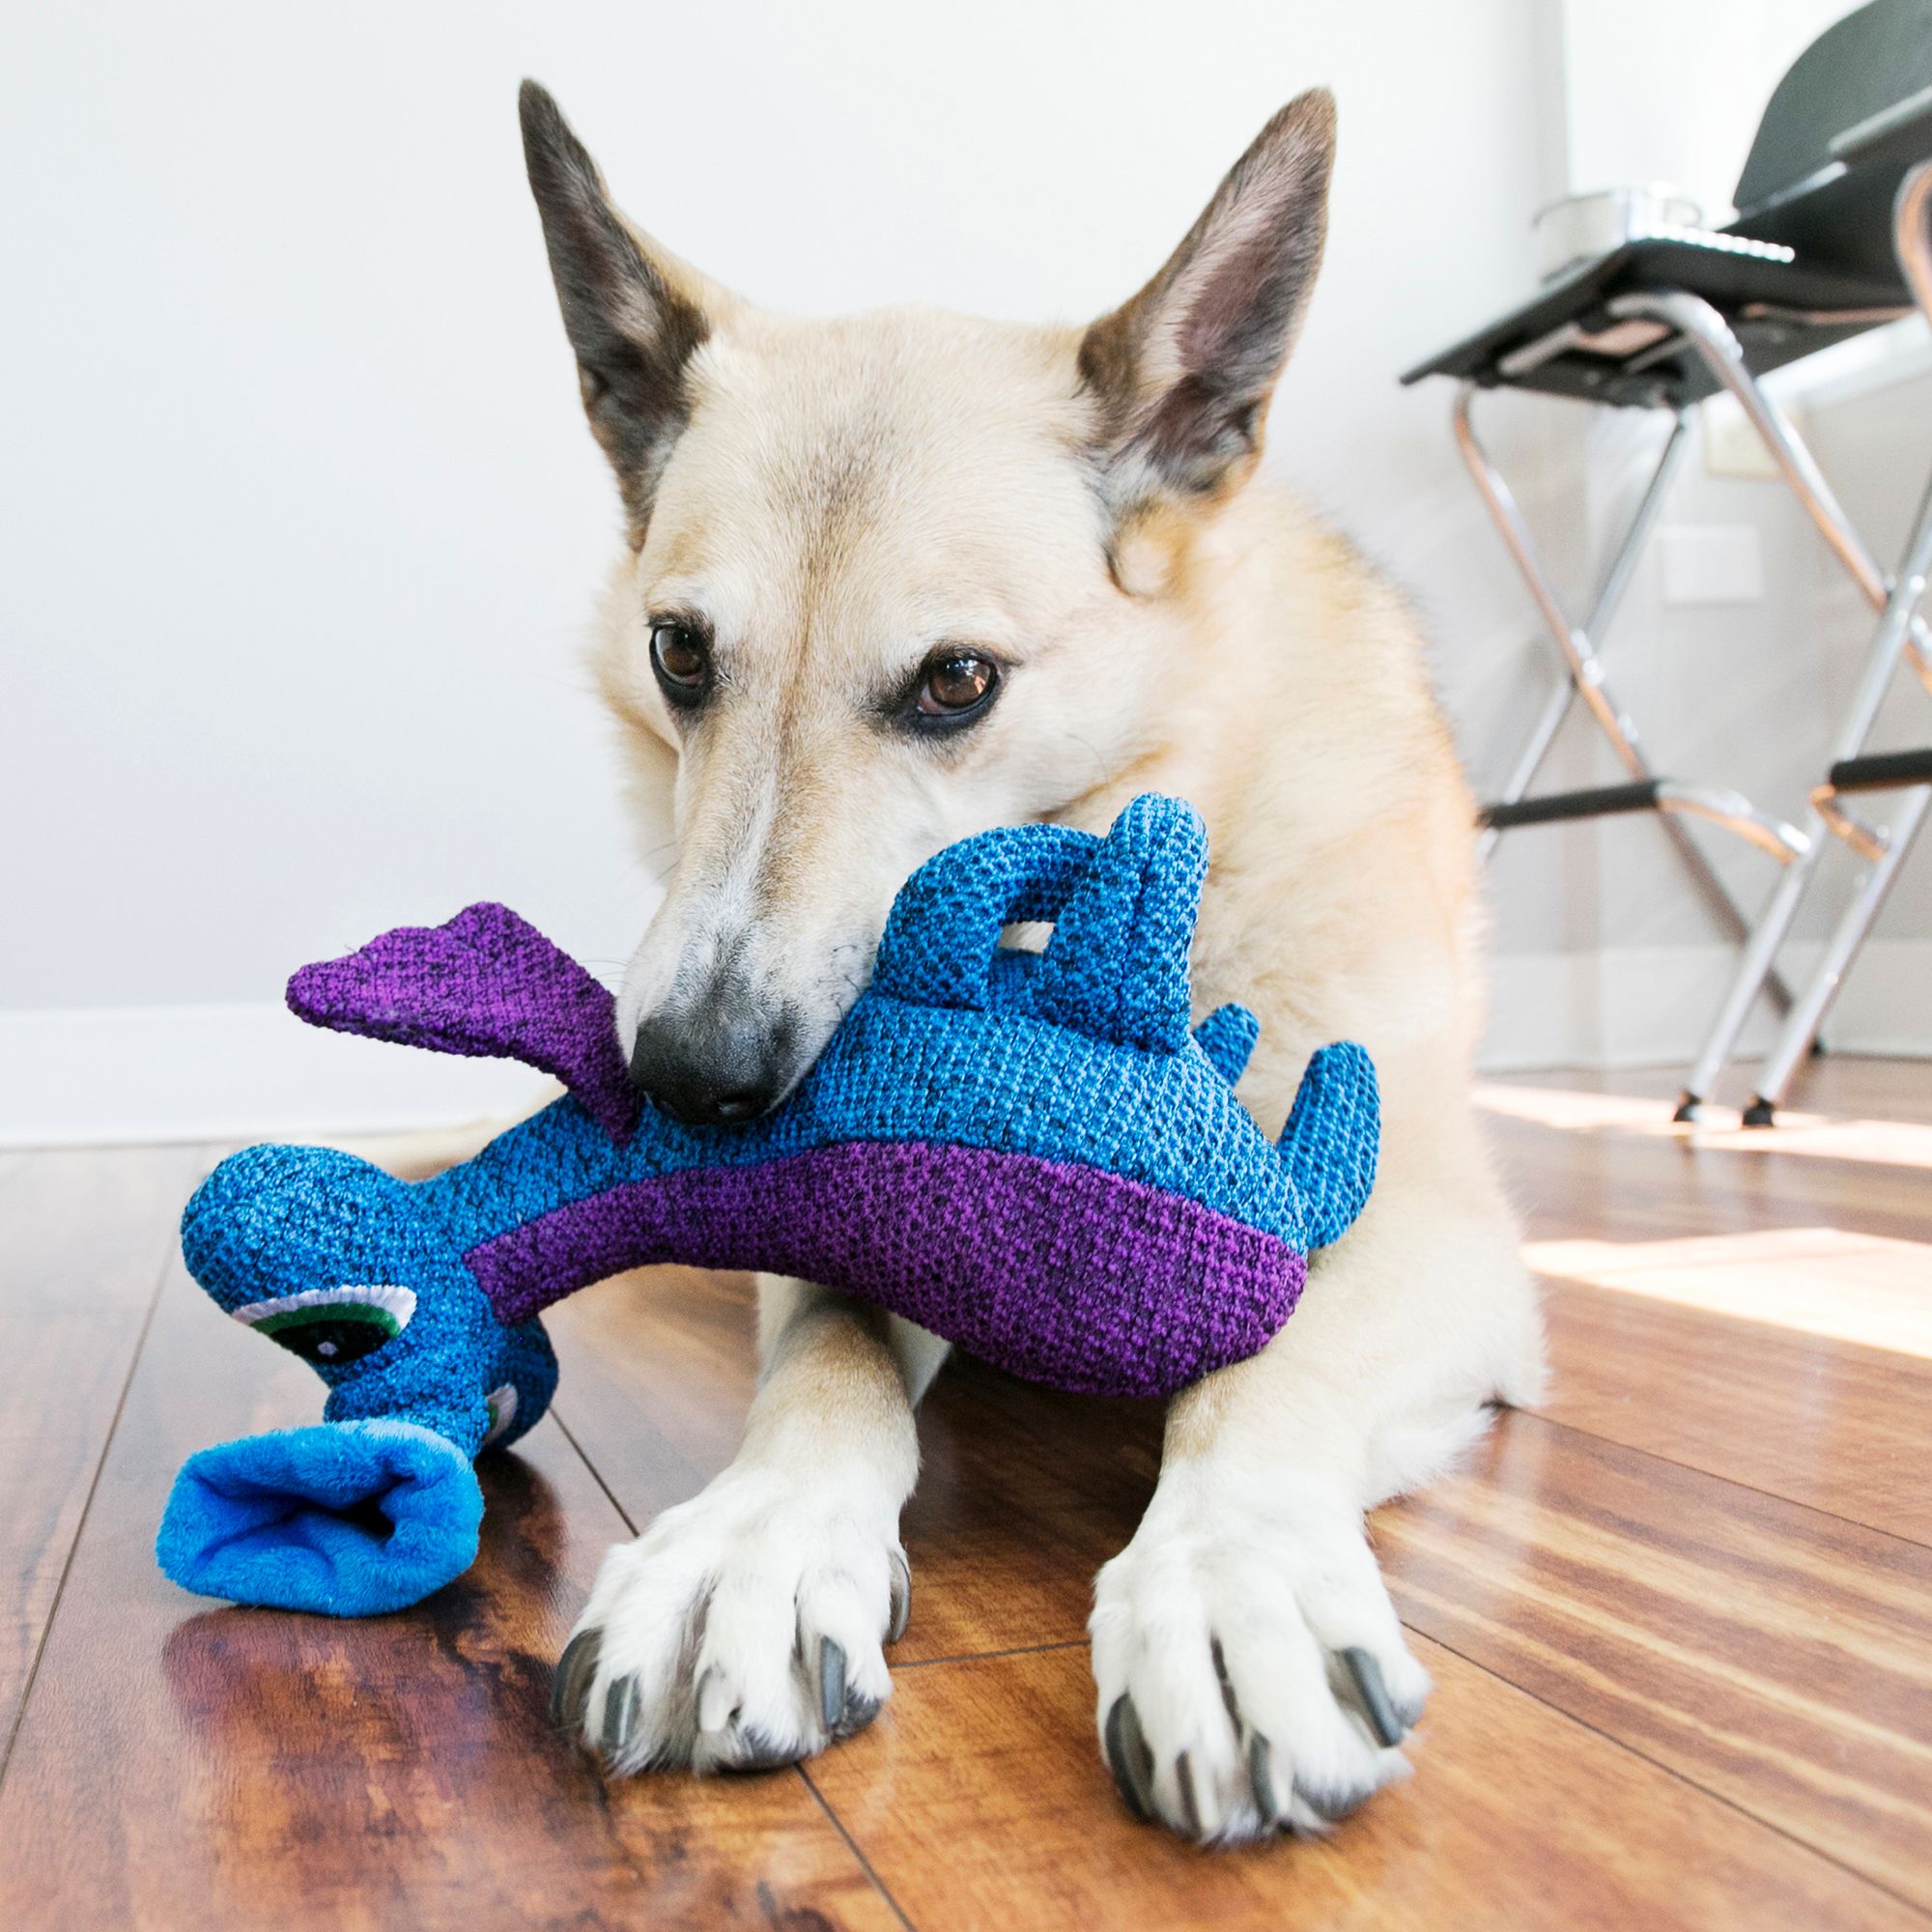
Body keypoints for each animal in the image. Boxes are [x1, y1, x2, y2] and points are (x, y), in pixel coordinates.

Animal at [522, 79, 1546, 1839]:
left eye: (956, 684)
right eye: (679, 653)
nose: (692, 1084)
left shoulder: (1435, 1233)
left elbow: (1274, 1362)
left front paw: (1233, 1576)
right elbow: (831, 1355)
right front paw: (756, 1539)